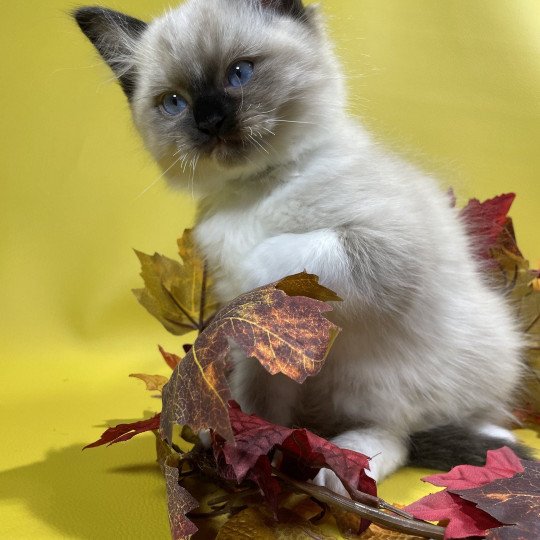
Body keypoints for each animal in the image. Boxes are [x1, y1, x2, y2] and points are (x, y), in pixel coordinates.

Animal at [74, 0, 532, 490]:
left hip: (386, 379)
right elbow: (256, 399)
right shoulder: (262, 352)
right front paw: (242, 446)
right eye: (174, 102)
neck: (255, 190)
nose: (210, 122)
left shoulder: (380, 246)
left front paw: (245, 281)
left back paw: (348, 467)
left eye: (239, 73)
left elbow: (279, 255)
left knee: (401, 432)